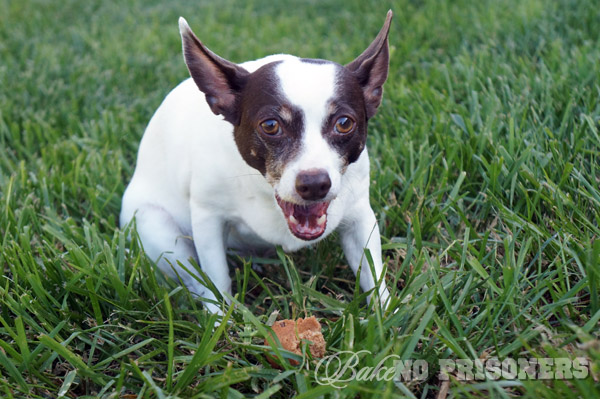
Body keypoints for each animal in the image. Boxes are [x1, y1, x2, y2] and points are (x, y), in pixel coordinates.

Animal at [121, 10, 394, 316]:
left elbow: (374, 276)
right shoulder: (208, 218)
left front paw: (386, 318)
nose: (314, 183)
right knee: (189, 275)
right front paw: (220, 321)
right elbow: (215, 278)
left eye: (344, 123)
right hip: (156, 228)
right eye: (271, 125)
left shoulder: (360, 218)